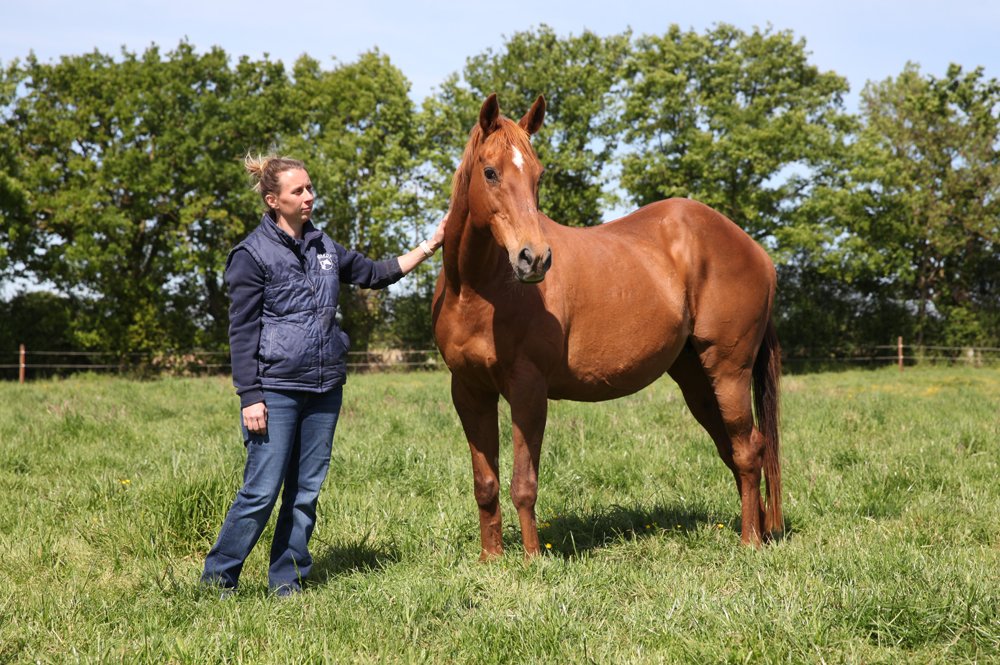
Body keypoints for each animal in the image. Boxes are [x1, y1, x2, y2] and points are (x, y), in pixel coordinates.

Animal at [432, 93, 782, 560]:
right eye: (490, 172)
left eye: (538, 176)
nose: (534, 259)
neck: (477, 290)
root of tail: (755, 251)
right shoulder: (470, 392)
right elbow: (485, 483)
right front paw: (492, 559)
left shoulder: (527, 390)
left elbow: (524, 484)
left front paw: (531, 560)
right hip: (696, 378)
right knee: (738, 450)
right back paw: (759, 530)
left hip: (729, 371)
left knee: (747, 451)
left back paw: (750, 543)